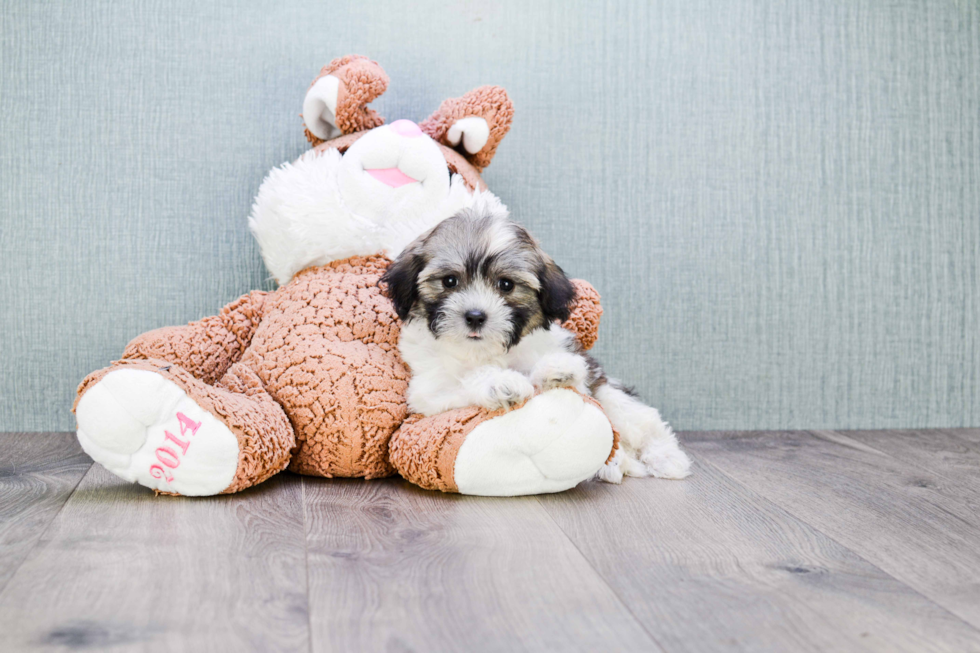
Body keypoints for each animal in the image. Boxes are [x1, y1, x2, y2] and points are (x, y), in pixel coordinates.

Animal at [378, 206, 692, 482]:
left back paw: (667, 459)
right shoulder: (429, 392)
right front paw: (500, 382)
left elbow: (569, 376)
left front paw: (557, 368)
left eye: (506, 285)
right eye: (450, 281)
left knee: (644, 421)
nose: (475, 316)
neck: (485, 351)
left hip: (613, 397)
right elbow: (466, 379)